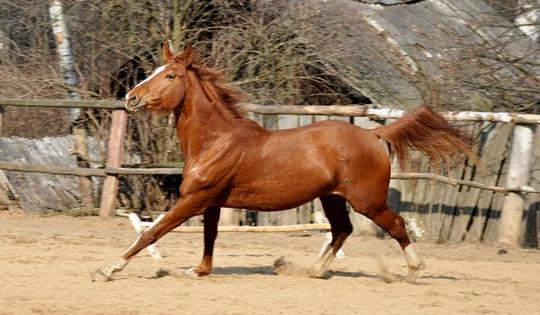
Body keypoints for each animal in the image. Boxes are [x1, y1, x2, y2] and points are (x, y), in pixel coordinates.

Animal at [93, 43, 476, 282]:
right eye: (155, 70)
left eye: (170, 76)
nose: (131, 97)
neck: (216, 141)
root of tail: (374, 134)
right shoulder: (211, 202)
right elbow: (209, 236)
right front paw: (198, 271)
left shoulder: (195, 199)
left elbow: (151, 232)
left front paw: (108, 269)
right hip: (331, 197)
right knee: (342, 230)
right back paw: (314, 270)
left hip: (367, 200)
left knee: (395, 224)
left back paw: (413, 271)